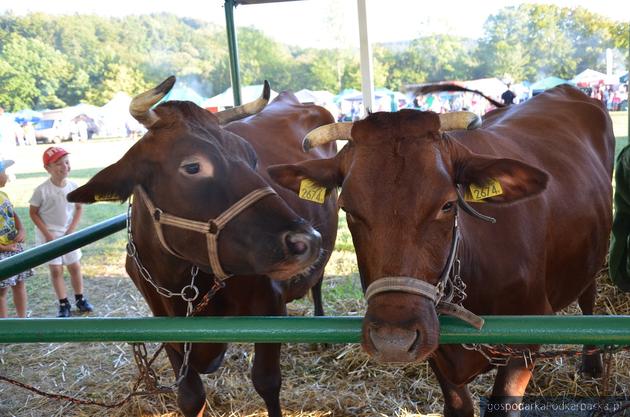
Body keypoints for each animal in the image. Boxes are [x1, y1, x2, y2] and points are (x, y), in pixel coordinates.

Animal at [66, 77, 338, 416]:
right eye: (193, 167)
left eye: (252, 158)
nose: (306, 240)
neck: (178, 280)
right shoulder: (165, 323)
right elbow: (190, 397)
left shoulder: (271, 304)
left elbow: (267, 381)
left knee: (318, 280)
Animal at [270, 85, 616, 416]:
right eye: (348, 209)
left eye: (448, 204)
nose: (393, 341)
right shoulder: (437, 351)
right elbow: (458, 405)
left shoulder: (526, 340)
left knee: (588, 297)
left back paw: (592, 363)